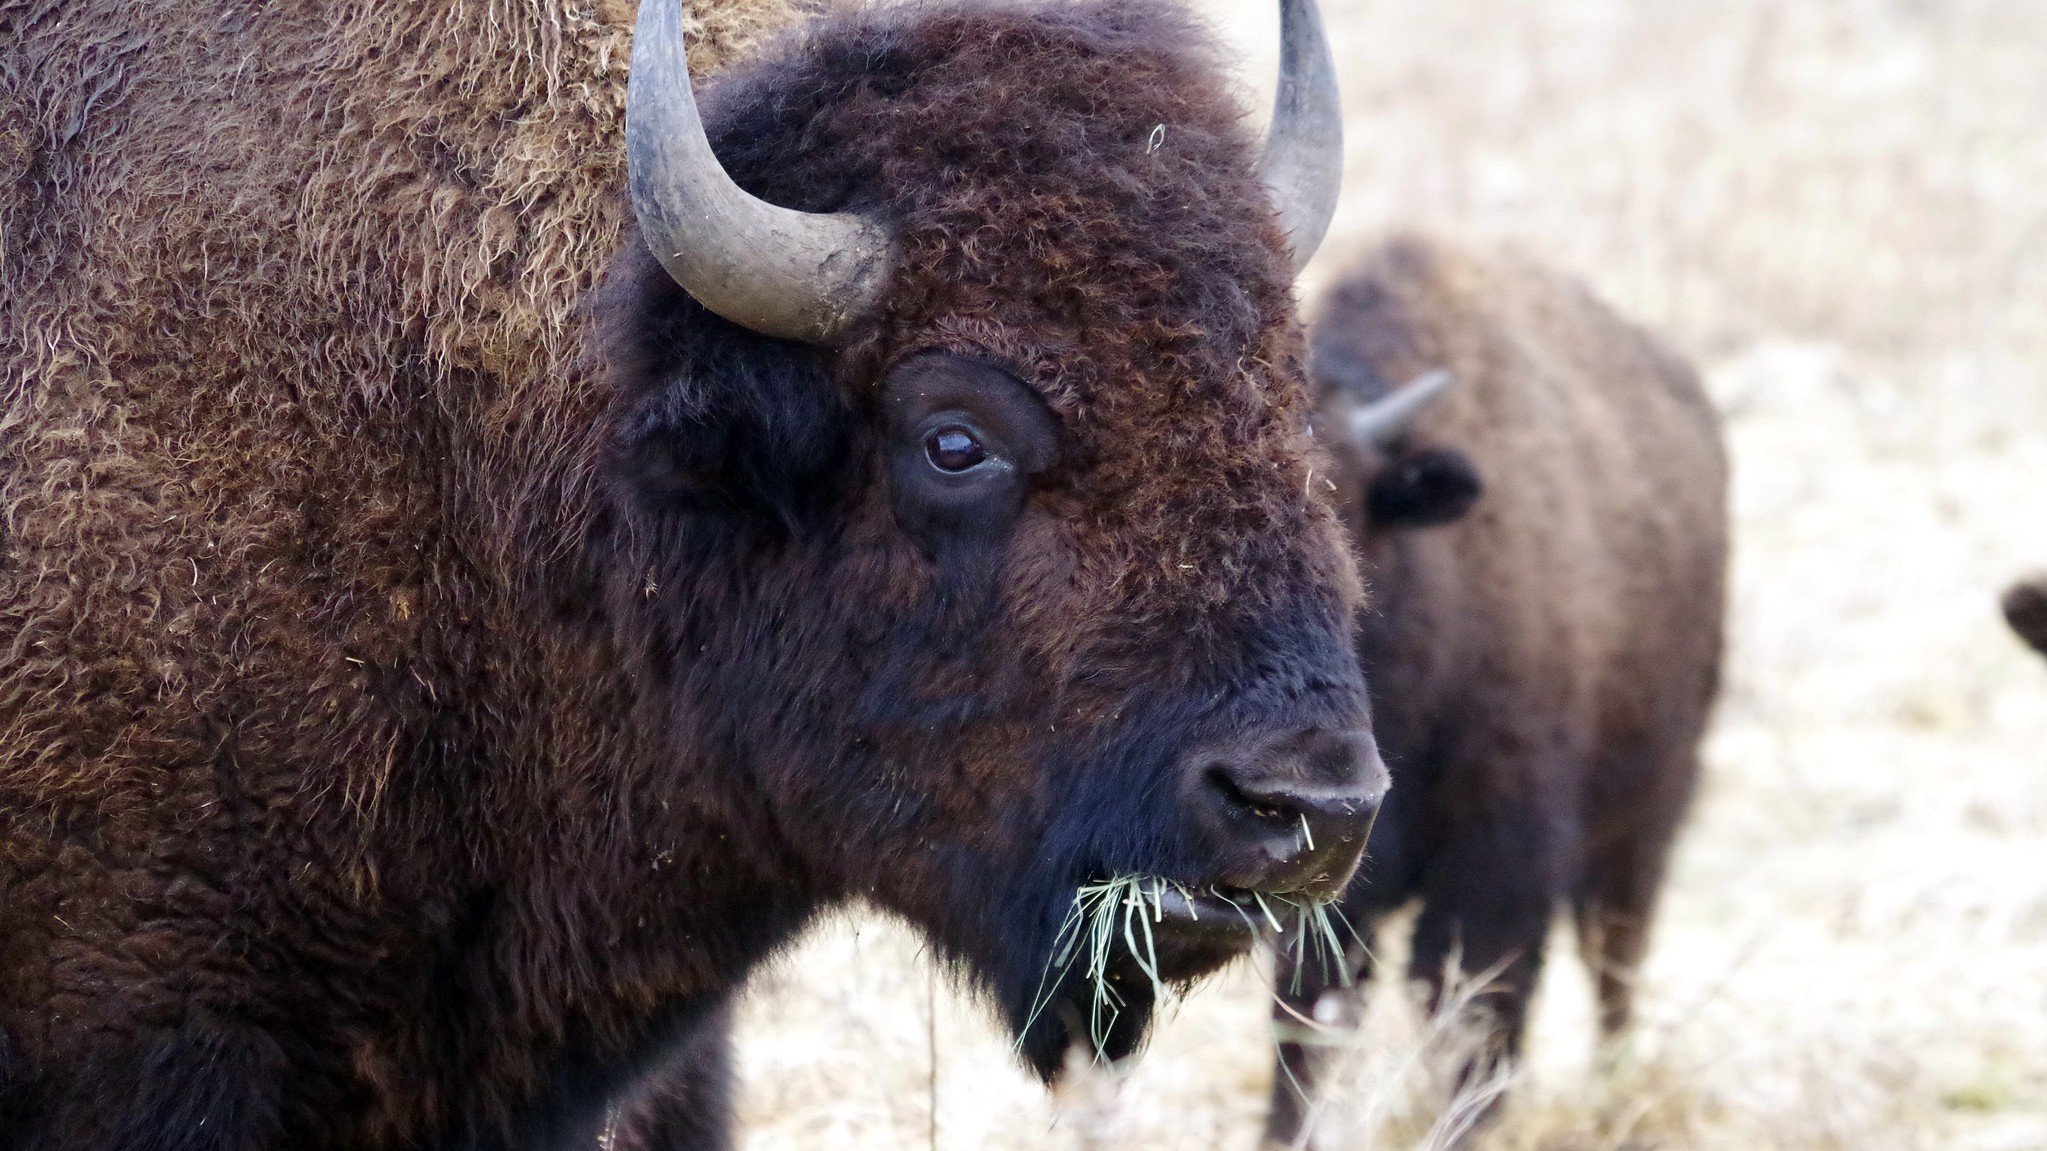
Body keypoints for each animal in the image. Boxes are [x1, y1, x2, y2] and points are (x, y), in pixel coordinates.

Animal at [1260, 233, 1727, 1138]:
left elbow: (1476, 1014)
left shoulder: (1497, 866)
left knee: (1614, 961)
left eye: (1339, 507)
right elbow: (1306, 1026)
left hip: (1646, 817)